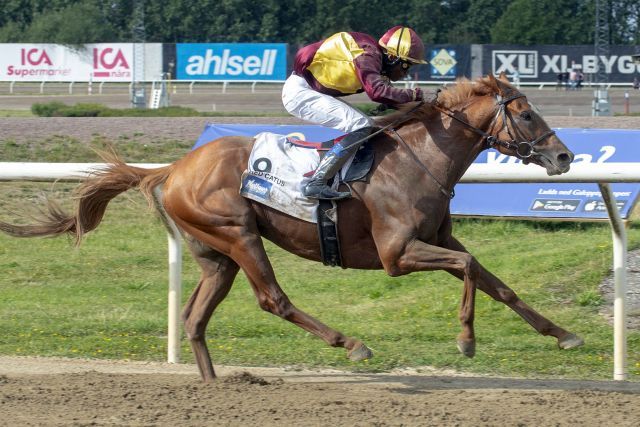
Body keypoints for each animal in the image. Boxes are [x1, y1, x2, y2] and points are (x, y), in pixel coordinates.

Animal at [0, 73, 584, 382]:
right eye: (526, 114)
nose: (564, 155)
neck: (419, 159)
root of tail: (173, 168)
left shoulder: (438, 238)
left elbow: (491, 279)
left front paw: (564, 334)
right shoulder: (397, 254)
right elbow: (467, 269)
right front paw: (465, 341)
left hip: (215, 256)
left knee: (194, 317)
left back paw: (214, 385)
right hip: (238, 234)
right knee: (273, 300)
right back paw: (351, 343)